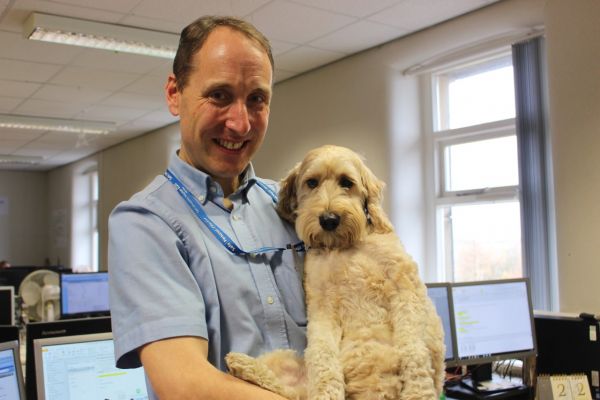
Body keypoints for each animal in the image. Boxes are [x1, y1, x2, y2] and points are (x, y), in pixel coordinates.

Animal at [227, 145, 442, 398]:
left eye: (347, 182)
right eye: (311, 182)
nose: (329, 220)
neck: (343, 246)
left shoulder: (405, 287)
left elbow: (413, 349)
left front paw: (417, 391)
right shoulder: (321, 305)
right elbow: (322, 356)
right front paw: (326, 392)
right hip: (285, 363)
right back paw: (239, 362)